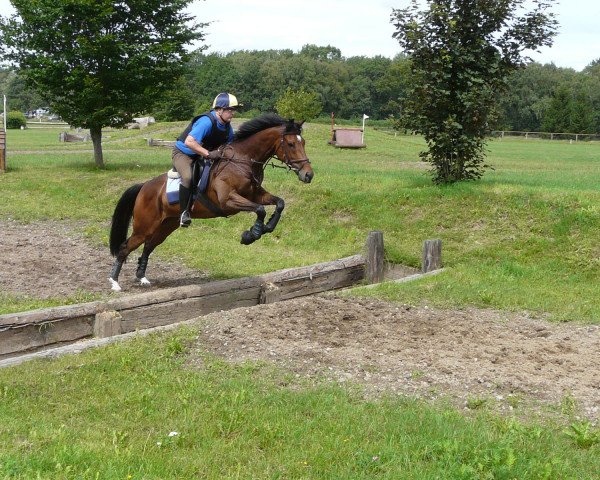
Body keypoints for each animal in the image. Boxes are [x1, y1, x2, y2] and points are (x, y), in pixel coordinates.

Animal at [108, 113, 314, 292]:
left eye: (303, 142)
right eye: (291, 144)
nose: (308, 175)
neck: (242, 161)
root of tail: (144, 187)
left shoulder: (255, 194)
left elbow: (279, 203)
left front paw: (266, 228)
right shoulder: (228, 201)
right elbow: (260, 209)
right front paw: (251, 235)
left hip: (167, 225)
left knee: (149, 246)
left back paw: (142, 277)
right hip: (144, 226)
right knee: (126, 247)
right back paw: (114, 282)